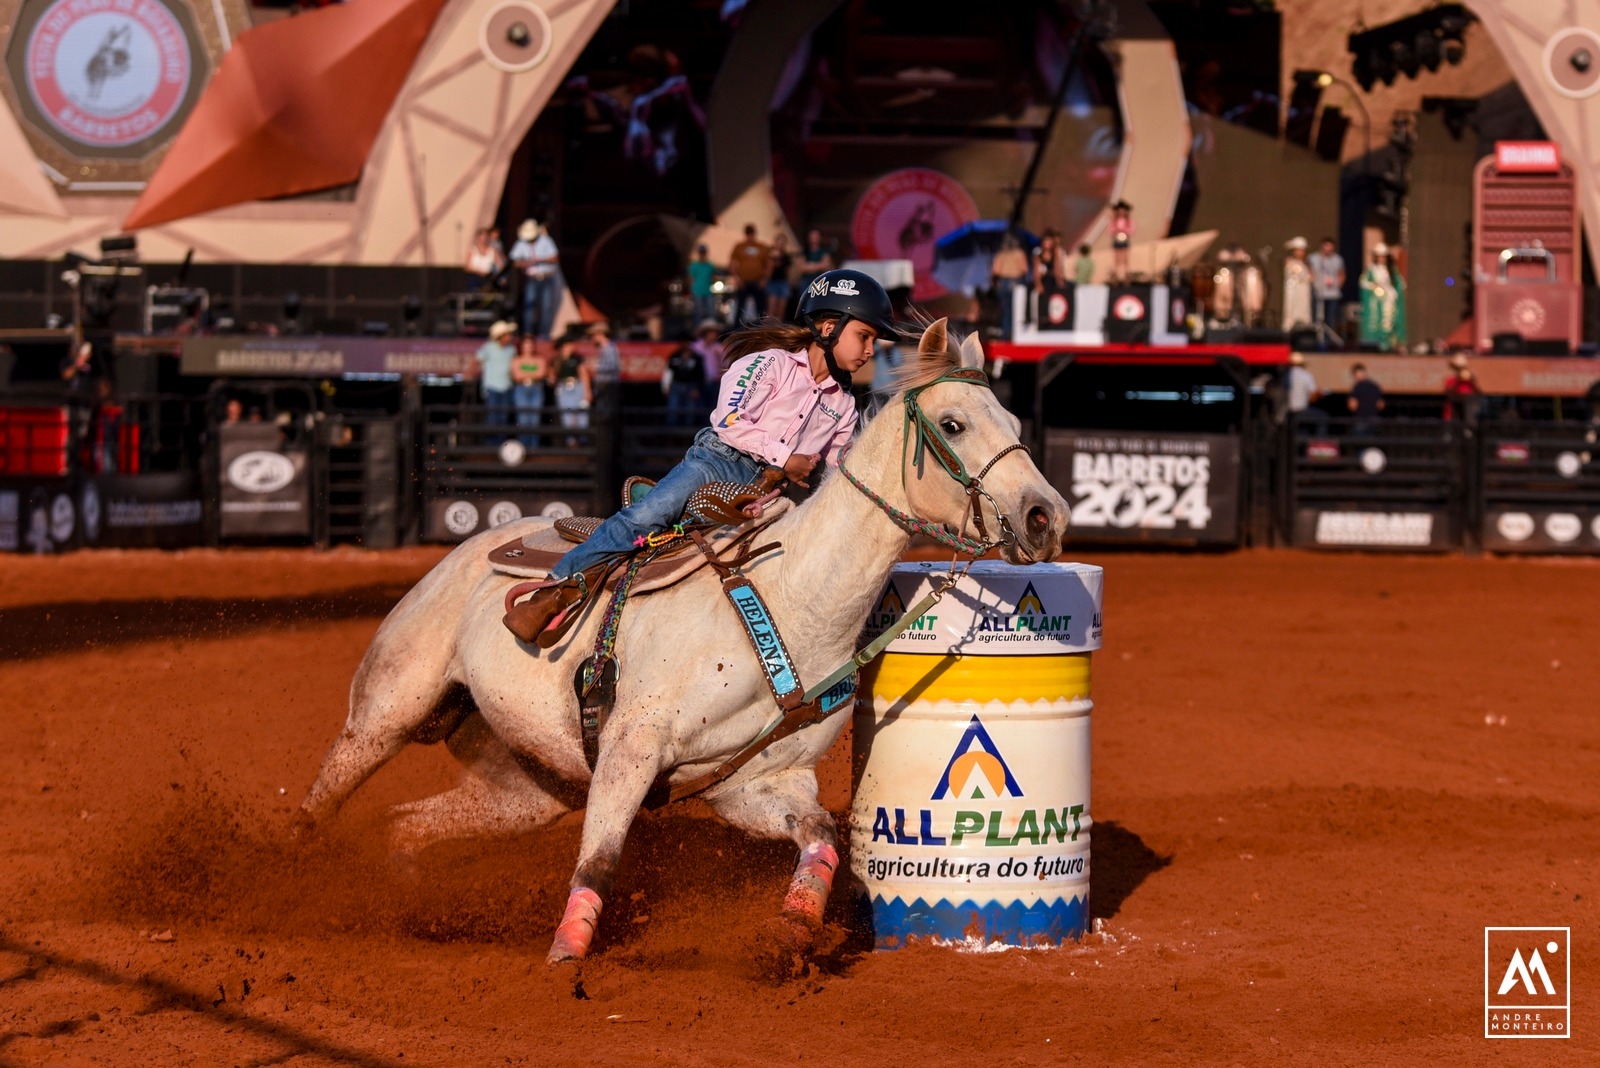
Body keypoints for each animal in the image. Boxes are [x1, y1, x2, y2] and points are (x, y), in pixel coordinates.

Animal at [300, 321, 1075, 965]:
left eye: (1013, 421)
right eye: (953, 423)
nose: (1048, 516)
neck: (793, 599)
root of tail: (467, 550)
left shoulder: (757, 783)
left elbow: (821, 839)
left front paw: (790, 935)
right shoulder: (632, 749)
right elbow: (598, 862)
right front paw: (565, 962)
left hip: (528, 783)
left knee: (406, 825)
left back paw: (405, 907)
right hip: (389, 707)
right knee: (323, 800)